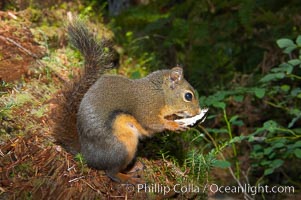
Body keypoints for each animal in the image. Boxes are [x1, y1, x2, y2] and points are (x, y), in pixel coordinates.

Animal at [54, 19, 206, 184]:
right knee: (111, 172)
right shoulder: (147, 106)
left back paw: (133, 167)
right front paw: (173, 125)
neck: (160, 94)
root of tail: (88, 156)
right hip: (124, 145)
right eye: (188, 96)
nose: (198, 111)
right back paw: (129, 178)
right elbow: (152, 122)